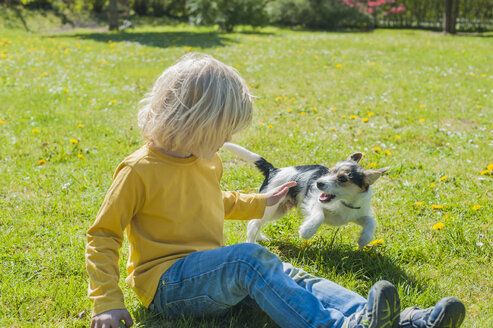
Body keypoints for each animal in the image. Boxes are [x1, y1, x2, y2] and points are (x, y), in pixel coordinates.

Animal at [222, 142, 388, 247]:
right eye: (330, 171)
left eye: (342, 179)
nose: (318, 183)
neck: (344, 203)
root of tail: (274, 170)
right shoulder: (313, 202)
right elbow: (318, 216)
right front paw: (307, 231)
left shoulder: (356, 214)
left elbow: (370, 221)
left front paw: (364, 238)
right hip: (271, 205)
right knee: (252, 224)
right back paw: (251, 244)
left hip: (278, 210)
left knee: (257, 222)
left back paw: (260, 238)